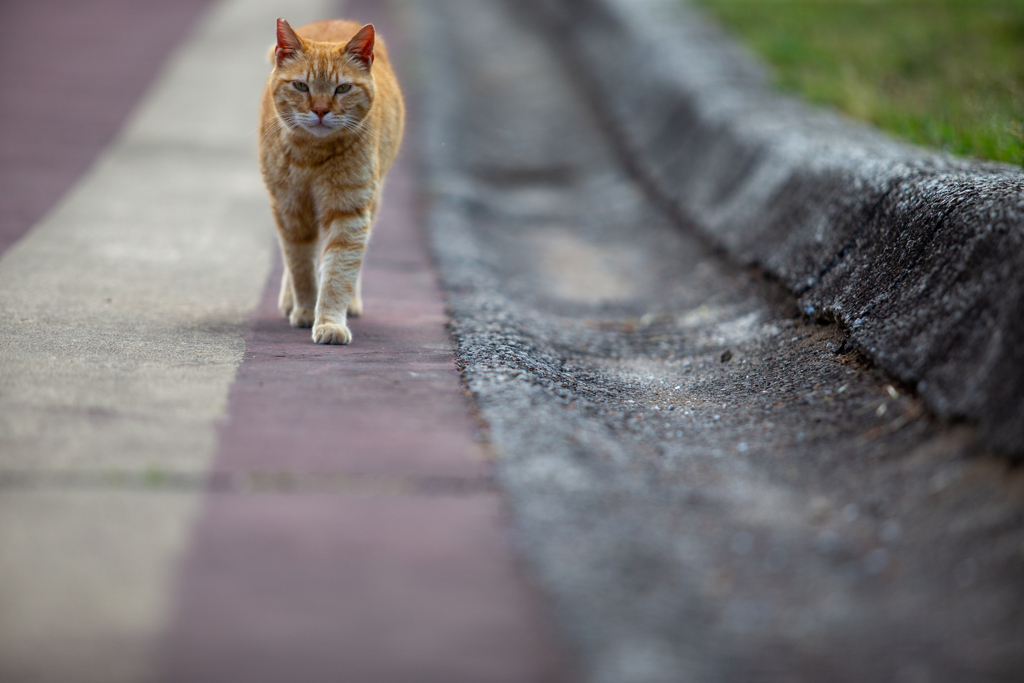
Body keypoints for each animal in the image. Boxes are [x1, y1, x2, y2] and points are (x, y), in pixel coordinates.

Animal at [258, 18, 405, 344]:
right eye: (301, 86)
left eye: (343, 88)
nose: (321, 110)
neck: (312, 155)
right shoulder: (290, 209)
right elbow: (299, 266)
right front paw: (304, 308)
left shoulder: (348, 212)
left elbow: (338, 272)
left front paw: (329, 321)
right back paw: (290, 300)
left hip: (372, 202)